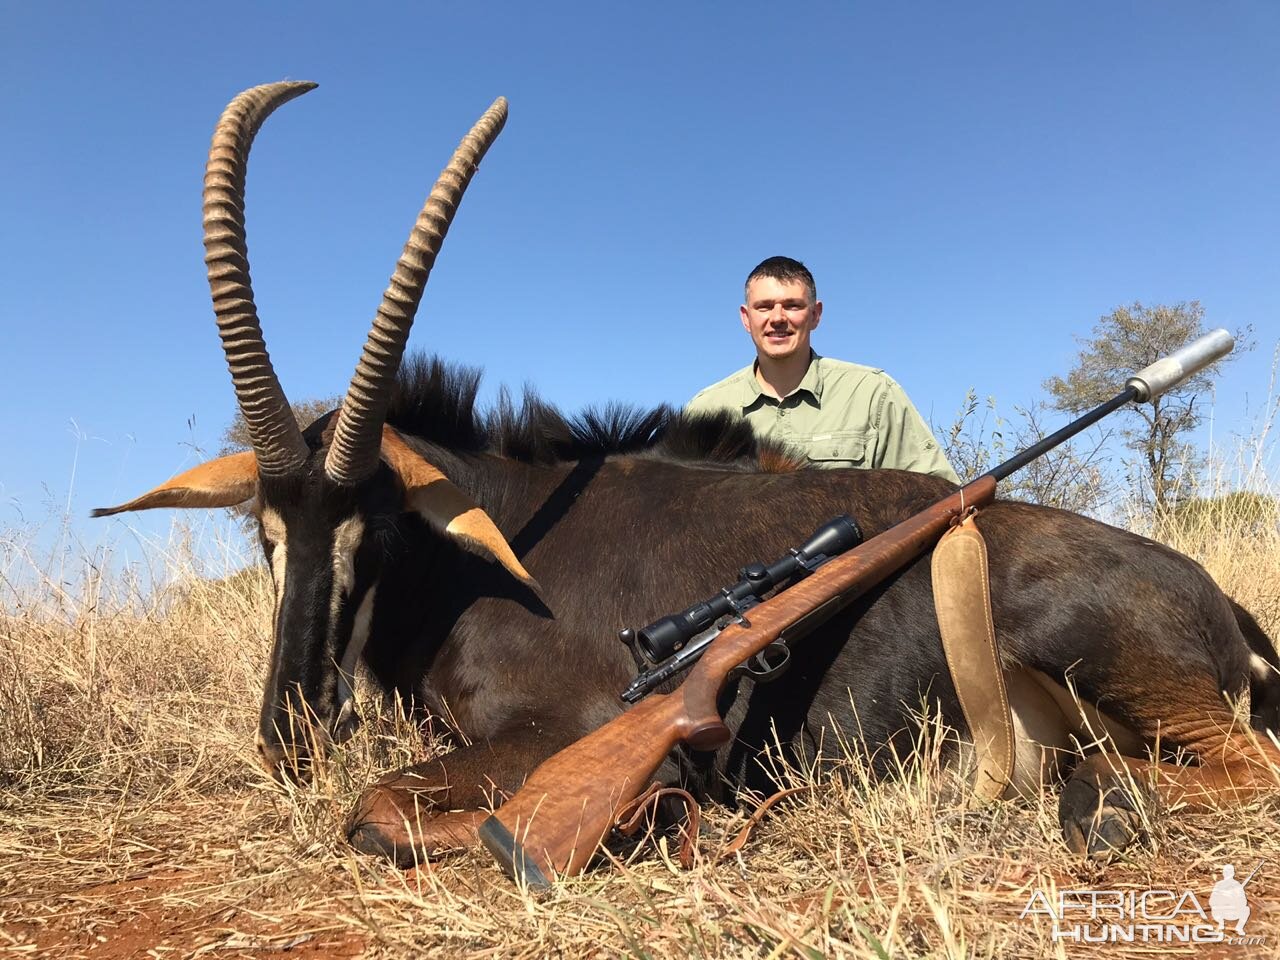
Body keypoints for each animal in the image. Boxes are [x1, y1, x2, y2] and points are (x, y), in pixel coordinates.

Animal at [97, 80, 1280, 865]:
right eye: (265, 531)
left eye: (375, 527)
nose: (288, 732)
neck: (497, 545)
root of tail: (1220, 603)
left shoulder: (552, 730)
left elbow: (380, 814)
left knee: (1226, 775)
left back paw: (1097, 801)